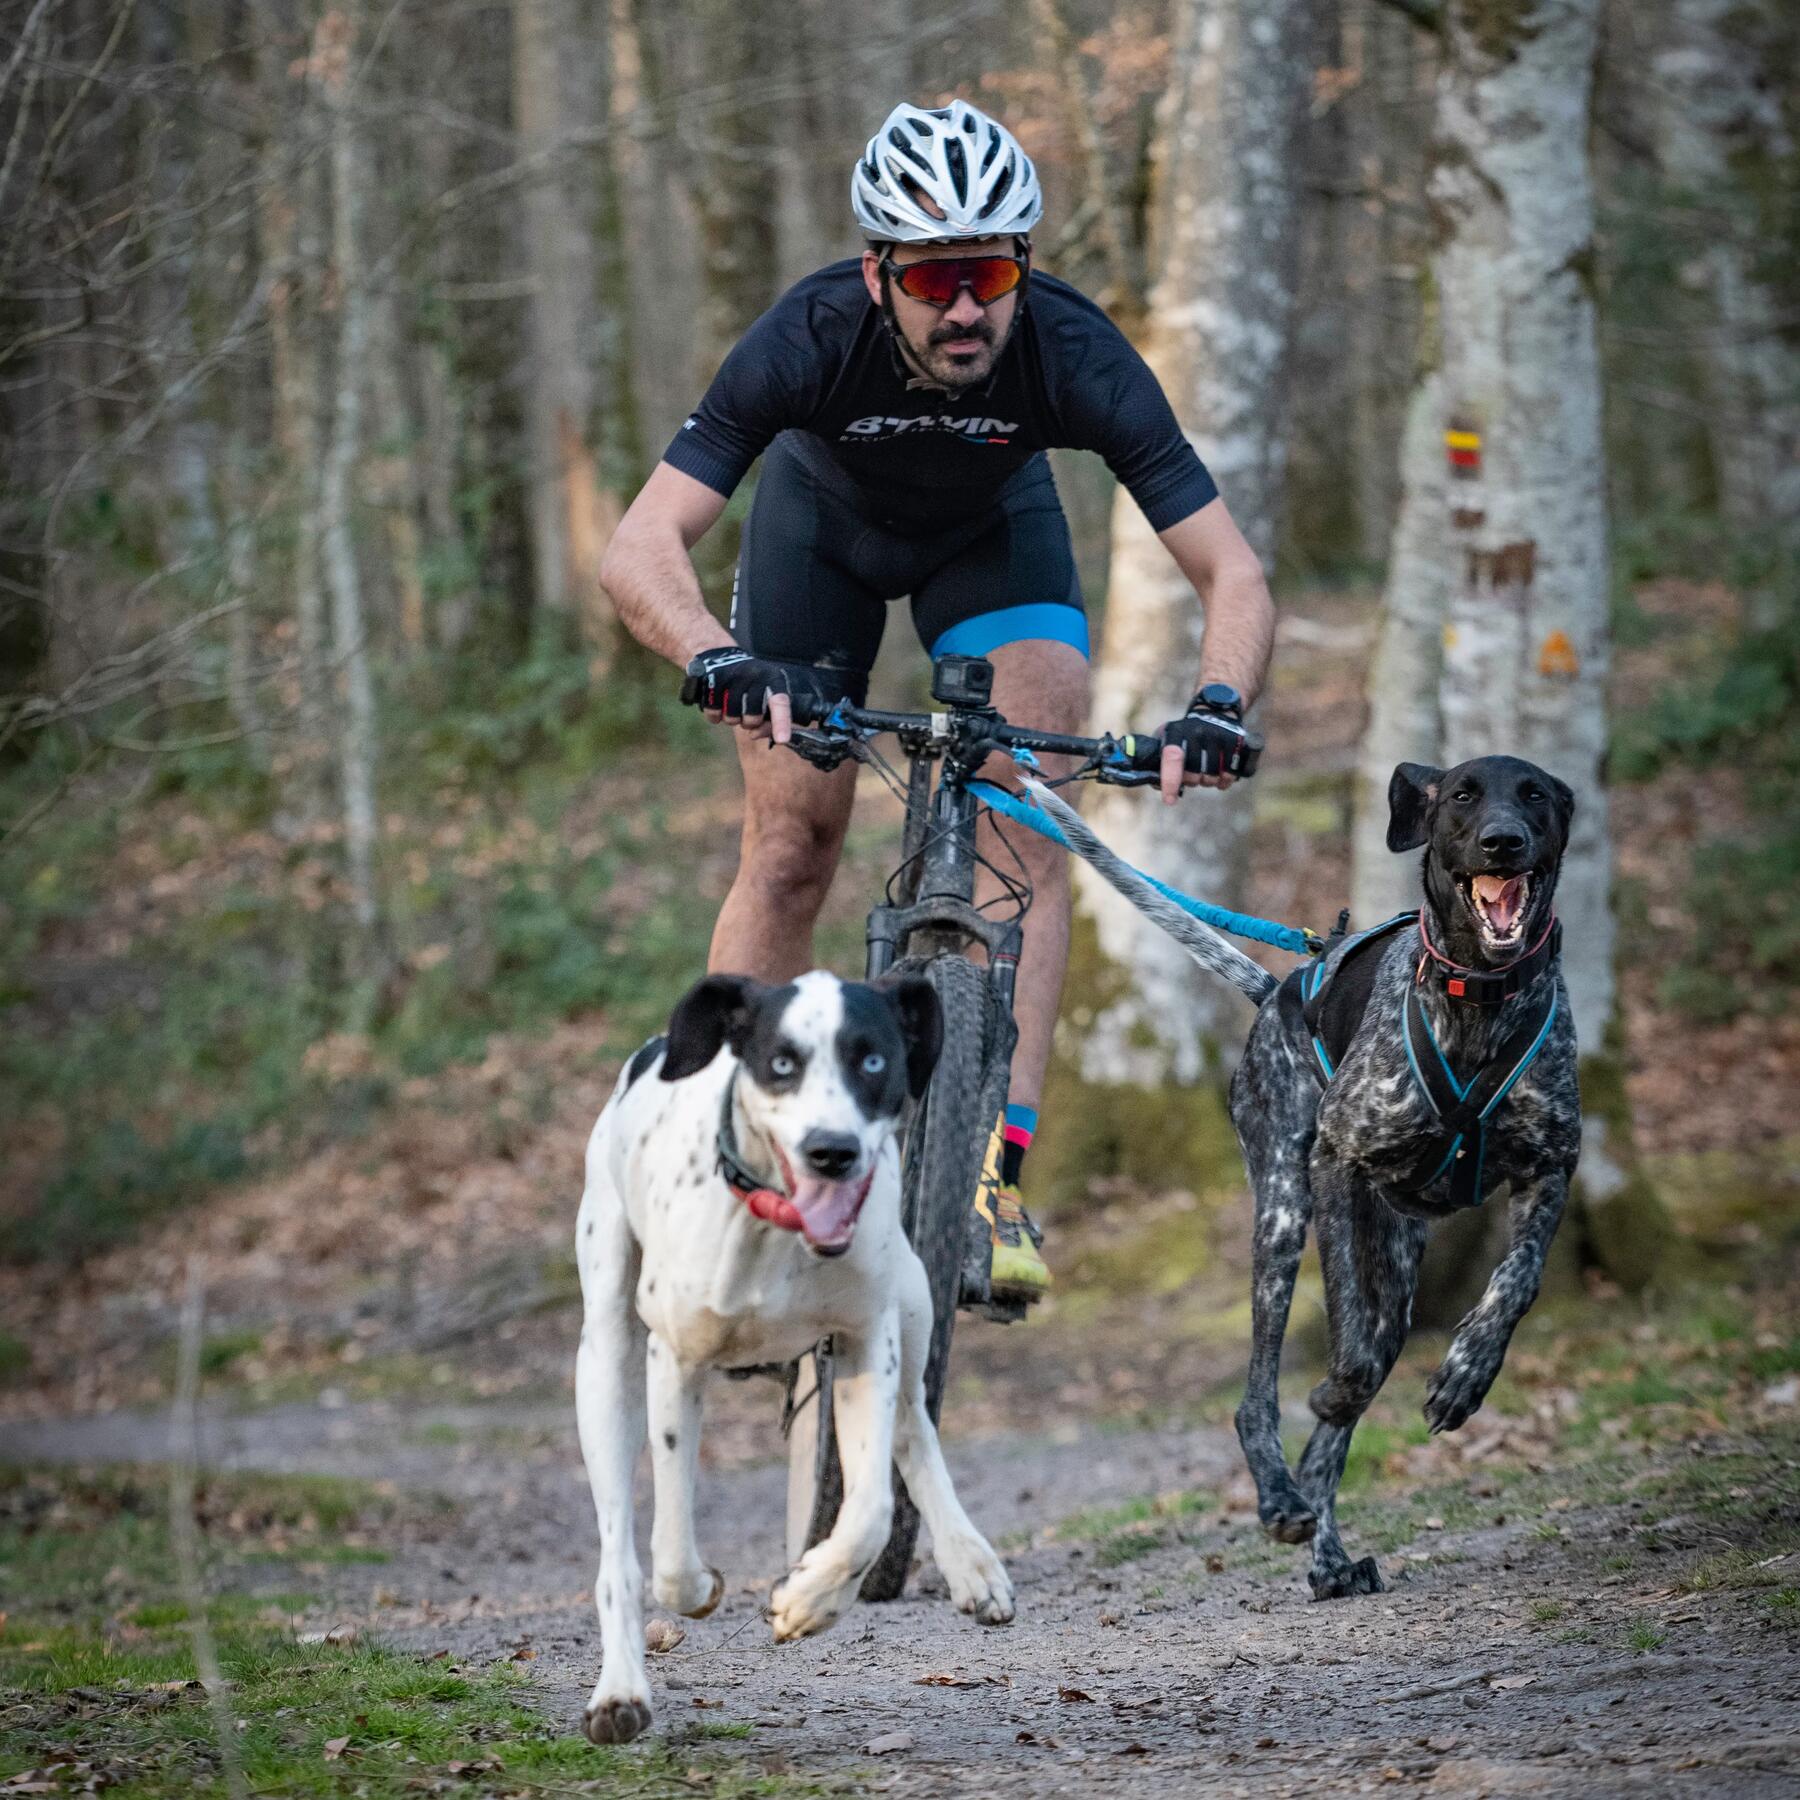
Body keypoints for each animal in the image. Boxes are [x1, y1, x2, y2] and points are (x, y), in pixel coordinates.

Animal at [576, 972, 1015, 1742]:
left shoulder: (868, 1340)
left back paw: (970, 1563)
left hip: (912, 1295)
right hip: (604, 1354)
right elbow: (669, 1554)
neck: (776, 1228)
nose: (830, 1150)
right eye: (782, 1062)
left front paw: (810, 1600)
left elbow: (870, 1511)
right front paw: (699, 1589)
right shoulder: (674, 1360)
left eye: (872, 1060)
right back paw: (620, 1690)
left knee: (915, 1431)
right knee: (618, 1547)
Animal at [1231, 752, 1584, 1598]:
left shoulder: (1551, 1166)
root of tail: (1279, 989)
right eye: (1462, 795)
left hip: (1396, 1269)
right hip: (1284, 1215)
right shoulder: (1336, 1160)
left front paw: (1466, 1374)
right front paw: (1335, 1390)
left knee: (1337, 1429)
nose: (1502, 841)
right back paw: (1281, 1497)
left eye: (1534, 795)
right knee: (1261, 1394)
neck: (1480, 996)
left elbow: (1516, 1284)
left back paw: (1328, 1555)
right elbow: (1349, 1361)